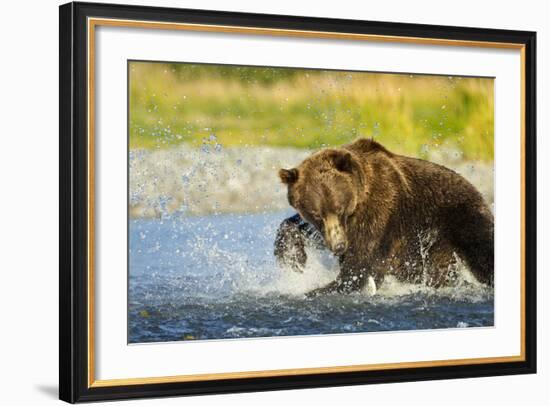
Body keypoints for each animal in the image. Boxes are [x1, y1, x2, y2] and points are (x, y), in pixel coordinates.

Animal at [276, 138, 496, 296]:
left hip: (462, 218)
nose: (338, 246)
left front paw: (318, 288)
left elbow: (359, 266)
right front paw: (293, 259)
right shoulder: (335, 228)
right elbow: (300, 228)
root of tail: (478, 191)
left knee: (483, 252)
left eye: (339, 208)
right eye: (316, 213)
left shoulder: (380, 212)